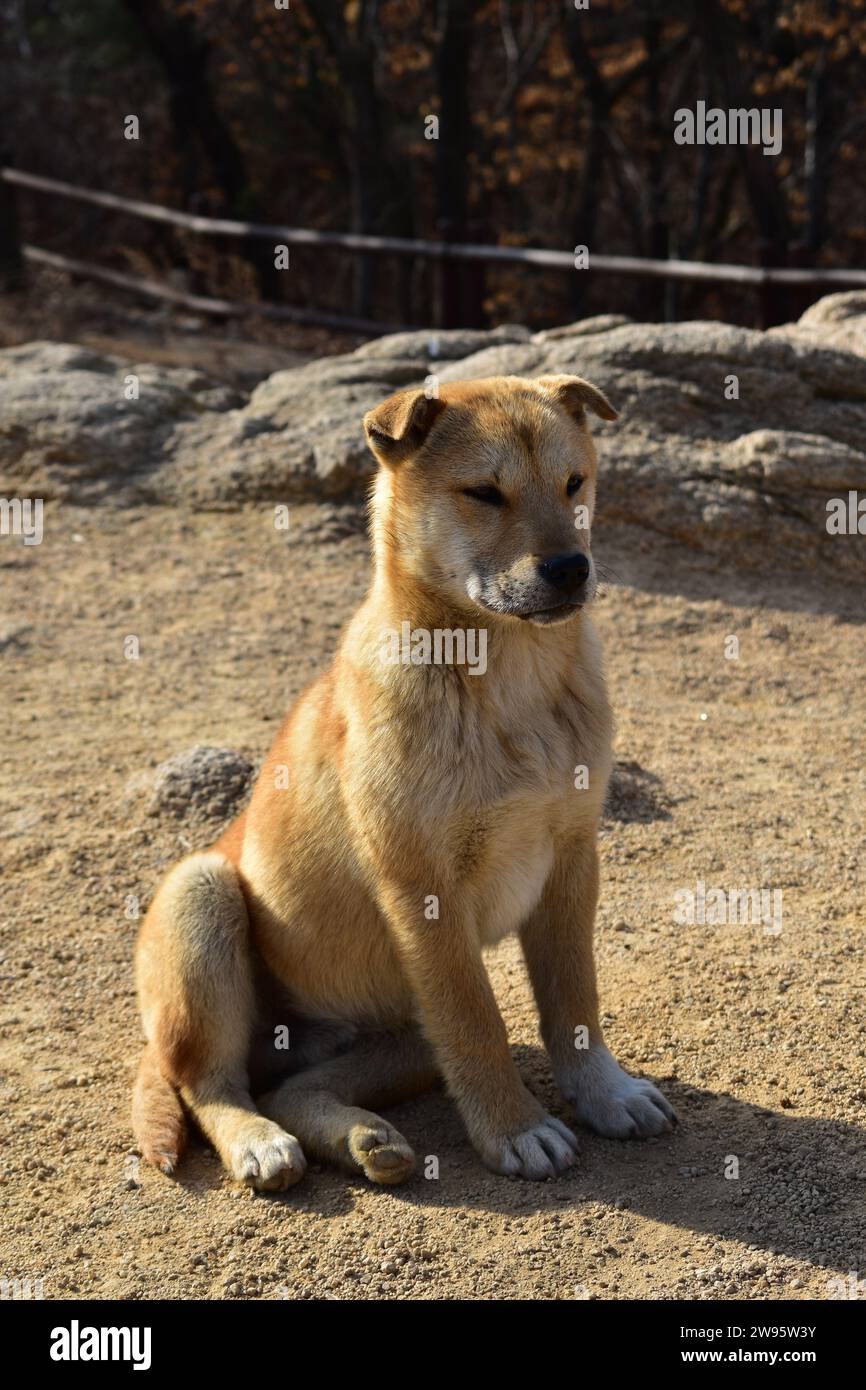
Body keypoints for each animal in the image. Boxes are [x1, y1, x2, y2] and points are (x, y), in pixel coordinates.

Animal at [134, 375, 678, 1189]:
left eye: (574, 482)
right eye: (483, 492)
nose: (570, 569)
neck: (508, 680)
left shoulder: (573, 859)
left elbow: (574, 1002)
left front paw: (605, 1094)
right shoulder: (424, 891)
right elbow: (479, 1023)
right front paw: (516, 1130)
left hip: (406, 1035)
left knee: (294, 1085)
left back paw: (366, 1139)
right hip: (202, 895)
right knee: (209, 1083)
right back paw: (261, 1143)